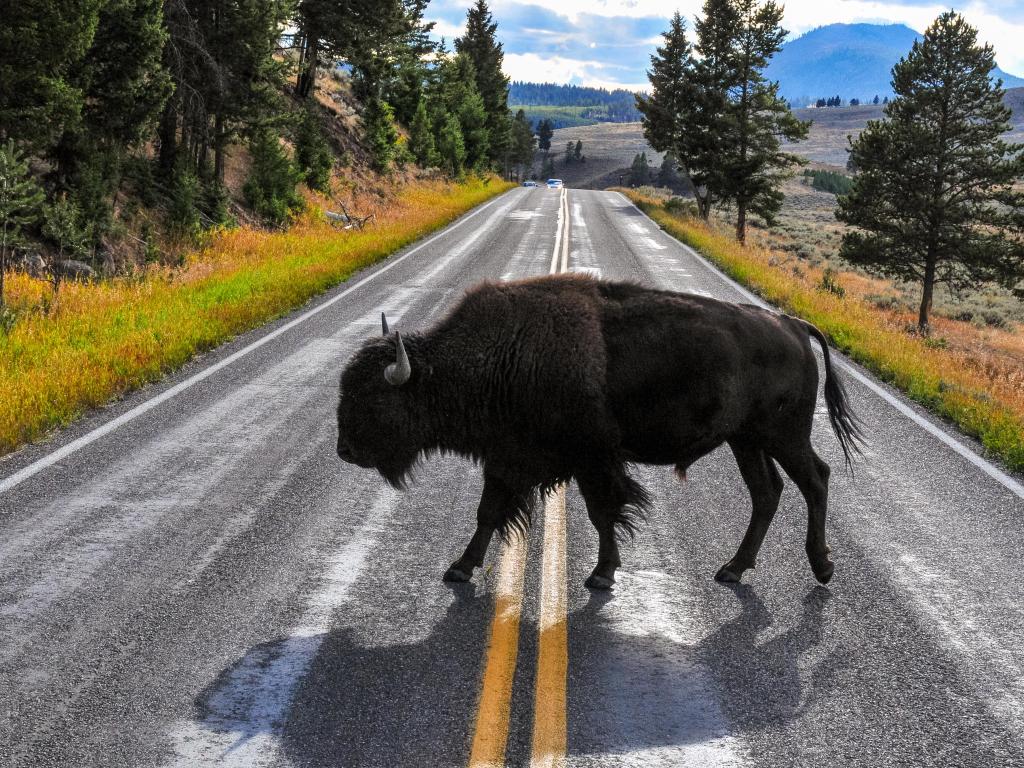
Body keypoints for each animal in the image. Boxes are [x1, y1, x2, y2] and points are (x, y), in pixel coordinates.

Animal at [337, 274, 864, 589]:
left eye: (374, 397)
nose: (345, 450)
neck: (503, 354)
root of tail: (793, 326)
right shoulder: (507, 458)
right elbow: (488, 513)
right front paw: (460, 569)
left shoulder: (591, 460)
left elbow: (602, 513)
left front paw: (601, 575)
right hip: (746, 441)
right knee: (767, 492)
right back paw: (732, 570)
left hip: (783, 435)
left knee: (815, 479)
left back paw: (822, 566)